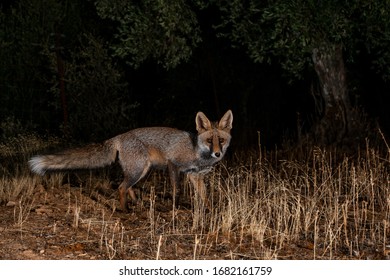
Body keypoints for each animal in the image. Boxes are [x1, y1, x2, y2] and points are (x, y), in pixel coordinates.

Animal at [29, 110, 235, 211]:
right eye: (209, 141)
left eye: (221, 140)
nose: (217, 154)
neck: (196, 152)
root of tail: (119, 136)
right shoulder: (173, 165)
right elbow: (177, 191)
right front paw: (176, 209)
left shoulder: (195, 176)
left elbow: (204, 196)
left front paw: (210, 211)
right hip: (138, 169)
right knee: (121, 187)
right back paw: (126, 211)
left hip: (142, 170)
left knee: (128, 187)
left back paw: (136, 204)